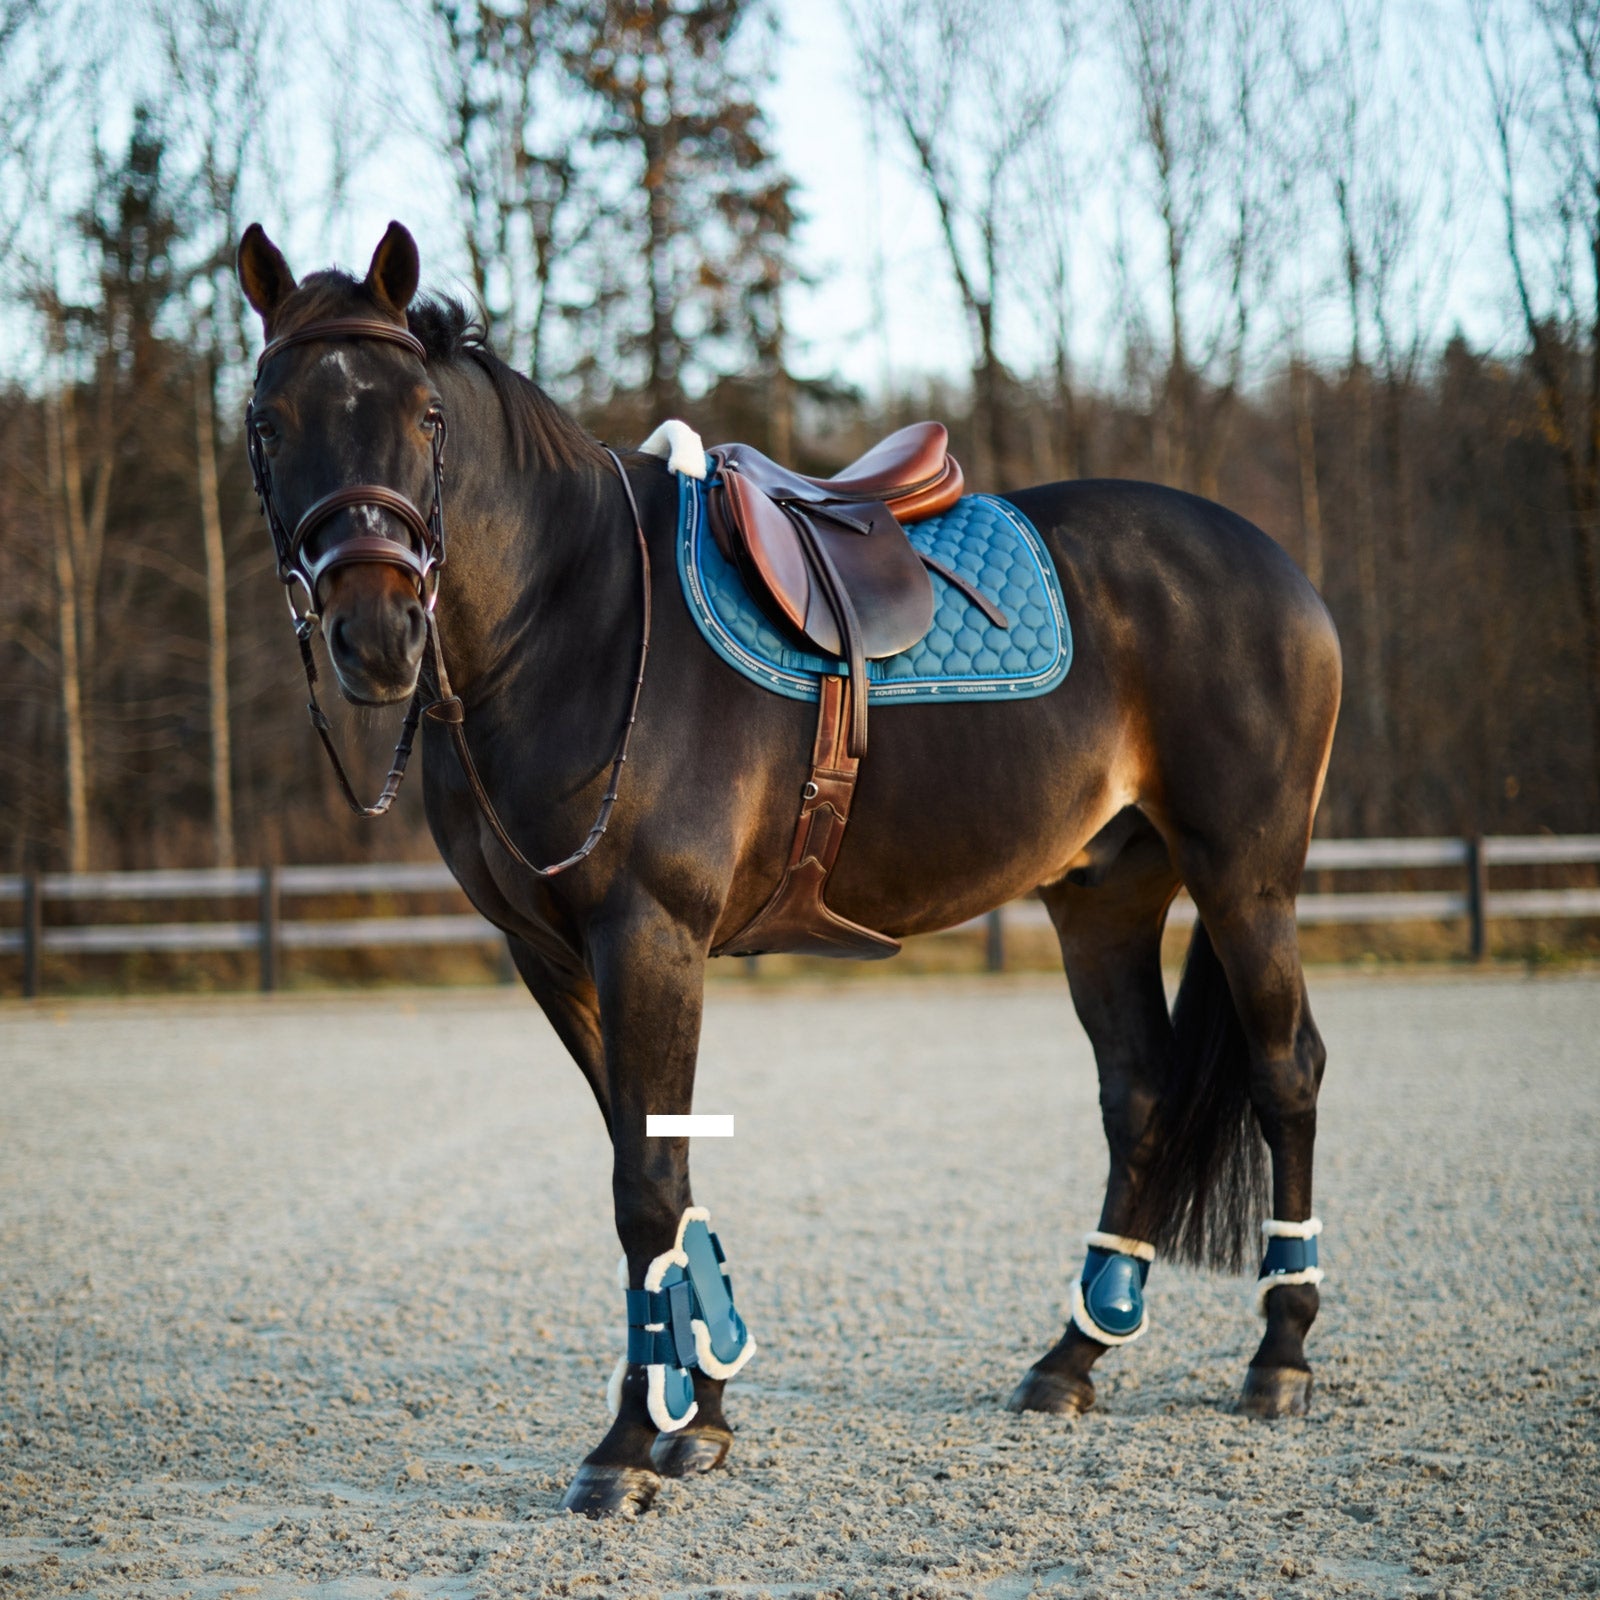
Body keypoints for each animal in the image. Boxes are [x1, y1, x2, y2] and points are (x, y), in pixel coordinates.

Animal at [236, 220, 1341, 1518]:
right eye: (267, 422)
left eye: (421, 416)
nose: (375, 632)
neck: (572, 617)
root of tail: (1271, 563)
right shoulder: (555, 957)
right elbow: (658, 1172)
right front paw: (700, 1414)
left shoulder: (649, 935)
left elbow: (645, 1186)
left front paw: (630, 1444)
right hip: (1104, 895)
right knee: (1144, 1092)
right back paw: (1072, 1357)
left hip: (1245, 878)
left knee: (1285, 1072)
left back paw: (1279, 1353)